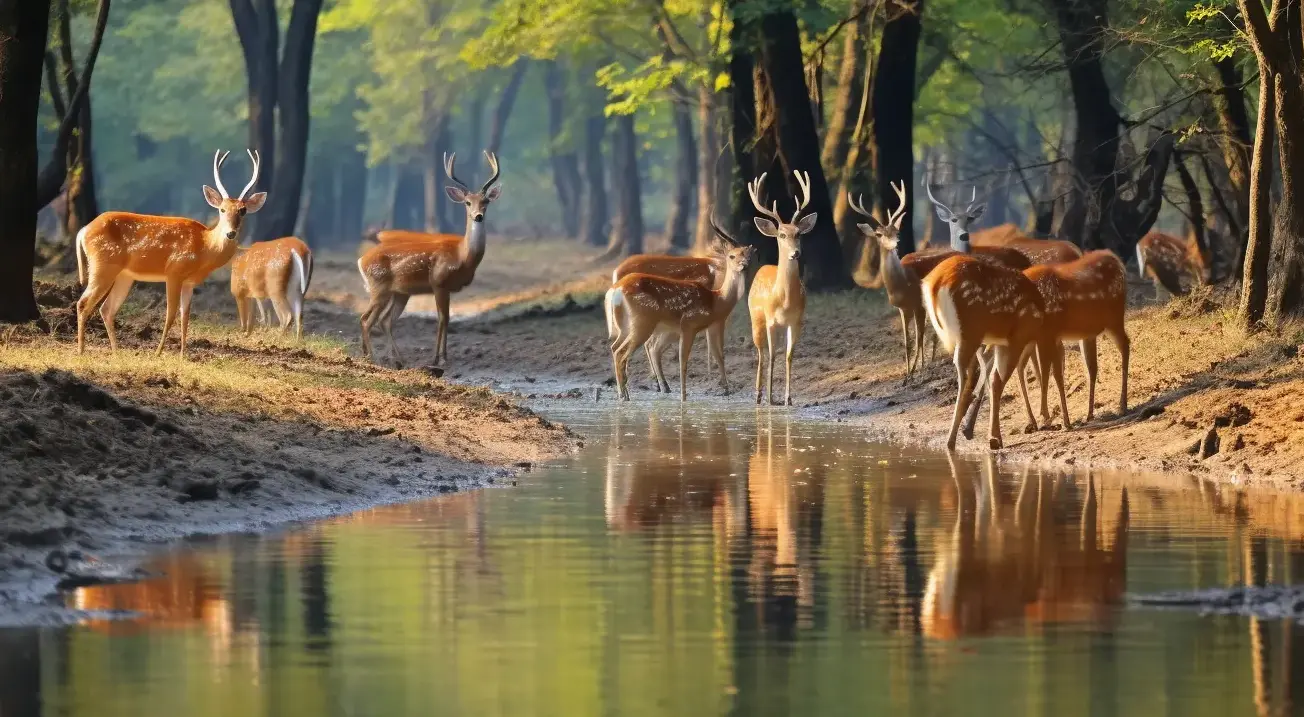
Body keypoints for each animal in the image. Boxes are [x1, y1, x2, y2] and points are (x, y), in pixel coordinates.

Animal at [74, 149, 267, 359]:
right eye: (222, 209)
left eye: (243, 210)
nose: (230, 233)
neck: (204, 247)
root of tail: (83, 230)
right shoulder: (174, 271)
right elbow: (170, 314)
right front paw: (158, 353)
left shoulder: (190, 282)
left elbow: (185, 317)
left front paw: (183, 355)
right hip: (103, 265)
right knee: (83, 303)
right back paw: (81, 350)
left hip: (124, 275)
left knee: (107, 309)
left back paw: (116, 352)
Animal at [359, 150, 500, 365]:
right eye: (468, 203)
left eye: (486, 202)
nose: (478, 216)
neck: (463, 257)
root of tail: (361, 260)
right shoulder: (438, 283)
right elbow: (442, 318)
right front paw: (437, 358)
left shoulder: (446, 288)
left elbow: (447, 318)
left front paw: (444, 356)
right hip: (379, 288)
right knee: (367, 320)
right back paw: (375, 359)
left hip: (399, 292)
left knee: (384, 321)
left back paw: (396, 359)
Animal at [607, 228, 761, 401]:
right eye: (732, 256)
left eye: (748, 255)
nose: (744, 265)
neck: (717, 300)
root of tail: (616, 290)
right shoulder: (690, 325)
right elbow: (684, 359)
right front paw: (684, 397)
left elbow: (717, 354)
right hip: (643, 323)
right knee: (622, 352)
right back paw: (626, 394)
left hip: (626, 325)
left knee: (615, 347)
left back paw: (625, 392)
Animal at [745, 168, 813, 404]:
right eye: (782, 235)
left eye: (798, 234)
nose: (796, 253)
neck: (784, 301)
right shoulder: (770, 320)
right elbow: (773, 355)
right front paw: (769, 397)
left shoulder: (797, 321)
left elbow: (789, 355)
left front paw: (788, 398)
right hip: (755, 317)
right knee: (761, 352)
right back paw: (757, 394)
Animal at [918, 255, 1048, 453]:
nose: (1046, 417)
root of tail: (935, 283)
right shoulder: (1016, 337)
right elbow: (999, 378)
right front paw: (996, 437)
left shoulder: (998, 342)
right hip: (970, 331)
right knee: (968, 375)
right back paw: (954, 440)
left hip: (969, 337)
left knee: (968, 371)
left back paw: (959, 433)